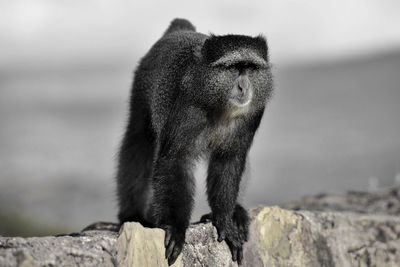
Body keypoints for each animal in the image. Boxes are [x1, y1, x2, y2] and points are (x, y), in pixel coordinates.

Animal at [115, 18, 272, 266]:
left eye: (250, 68)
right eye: (233, 68)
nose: (244, 86)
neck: (221, 106)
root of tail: (179, 30)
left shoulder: (254, 113)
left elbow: (230, 161)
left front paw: (225, 220)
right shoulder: (189, 104)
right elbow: (175, 159)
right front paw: (175, 228)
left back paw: (236, 211)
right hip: (141, 91)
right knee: (138, 145)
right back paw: (133, 215)